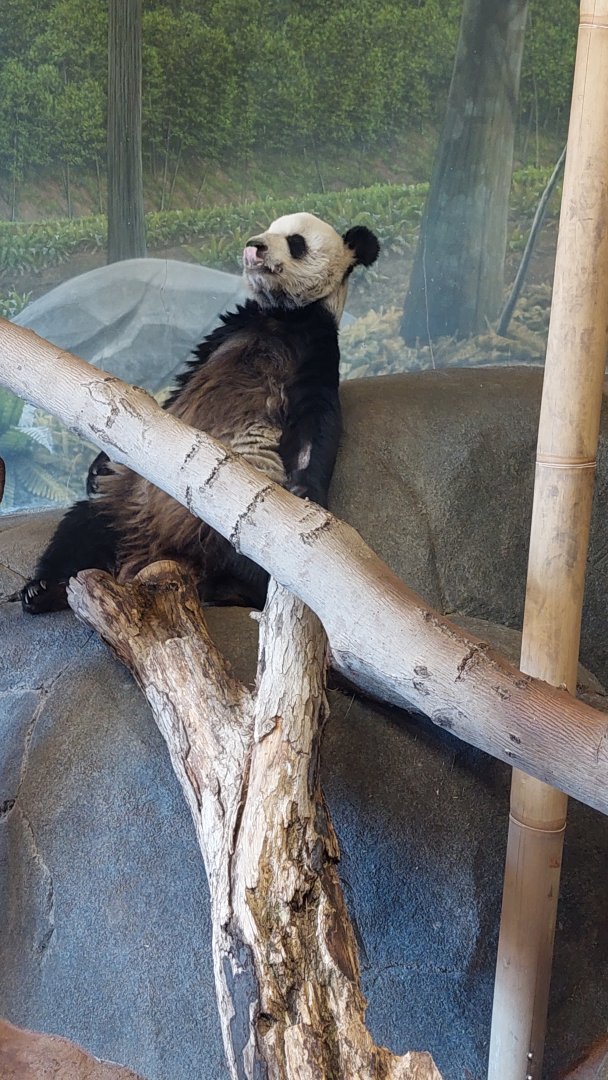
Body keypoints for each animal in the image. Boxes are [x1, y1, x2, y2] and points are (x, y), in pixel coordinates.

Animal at [21, 212, 380, 614]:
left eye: (296, 242)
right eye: (269, 228)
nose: (255, 246)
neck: (281, 314)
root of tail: (153, 556)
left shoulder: (315, 345)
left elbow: (315, 418)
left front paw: (305, 490)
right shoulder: (227, 331)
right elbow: (177, 392)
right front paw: (99, 463)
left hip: (239, 520)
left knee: (252, 566)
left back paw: (224, 588)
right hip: (127, 502)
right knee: (81, 527)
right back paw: (44, 591)